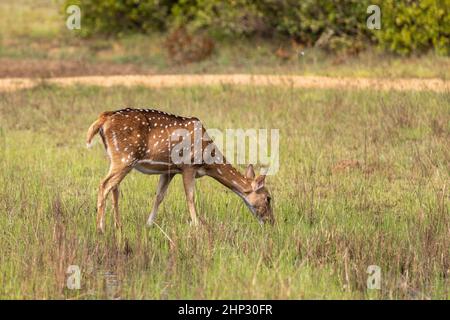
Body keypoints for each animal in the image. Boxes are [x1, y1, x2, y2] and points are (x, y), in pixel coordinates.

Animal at [86, 108, 272, 232]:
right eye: (268, 198)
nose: (271, 222)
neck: (207, 162)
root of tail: (103, 119)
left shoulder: (169, 170)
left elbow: (159, 196)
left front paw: (149, 224)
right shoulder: (188, 165)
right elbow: (190, 196)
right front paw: (197, 225)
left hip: (116, 158)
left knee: (114, 188)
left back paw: (118, 226)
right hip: (125, 157)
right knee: (104, 185)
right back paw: (100, 229)